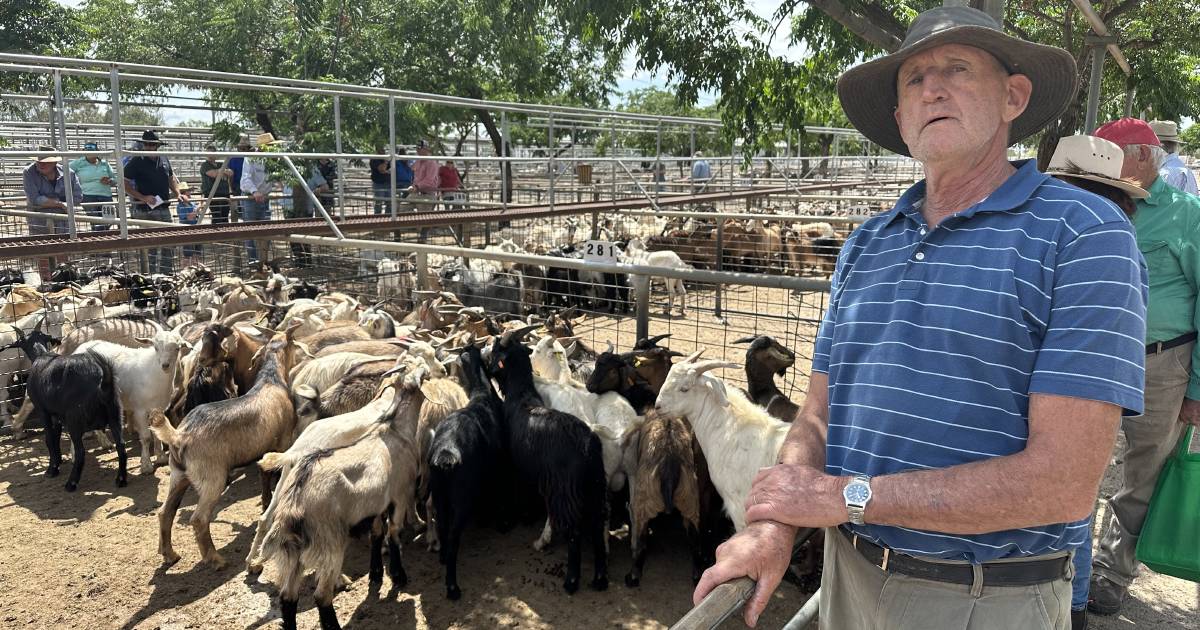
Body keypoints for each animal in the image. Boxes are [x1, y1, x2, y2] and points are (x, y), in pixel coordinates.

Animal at [5, 328, 126, 492]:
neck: (41, 355)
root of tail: (102, 383)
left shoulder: (43, 410)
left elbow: (49, 438)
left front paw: (52, 469)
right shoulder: (56, 414)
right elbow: (55, 437)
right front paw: (58, 460)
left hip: (74, 420)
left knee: (81, 452)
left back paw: (71, 483)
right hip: (115, 414)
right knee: (121, 445)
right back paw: (121, 479)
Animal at [427, 340, 506, 597]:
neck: (482, 394)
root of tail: (445, 456)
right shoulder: (496, 464)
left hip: (439, 492)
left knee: (442, 524)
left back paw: (442, 558)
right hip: (461, 495)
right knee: (453, 534)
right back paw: (452, 587)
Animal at [484, 326, 609, 592]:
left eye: (498, 346)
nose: (483, 351)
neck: (522, 397)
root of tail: (588, 444)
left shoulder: (519, 467)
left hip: (568, 489)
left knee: (574, 530)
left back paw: (571, 581)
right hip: (595, 486)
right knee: (597, 524)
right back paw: (600, 579)